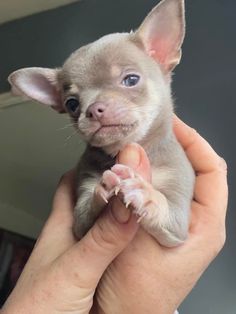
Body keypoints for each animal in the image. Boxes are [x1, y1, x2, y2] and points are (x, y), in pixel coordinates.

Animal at [8, 0, 195, 247]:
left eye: (131, 80)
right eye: (72, 104)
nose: (94, 109)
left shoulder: (178, 224)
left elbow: (165, 208)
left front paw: (146, 193)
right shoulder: (81, 215)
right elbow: (86, 212)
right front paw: (103, 188)